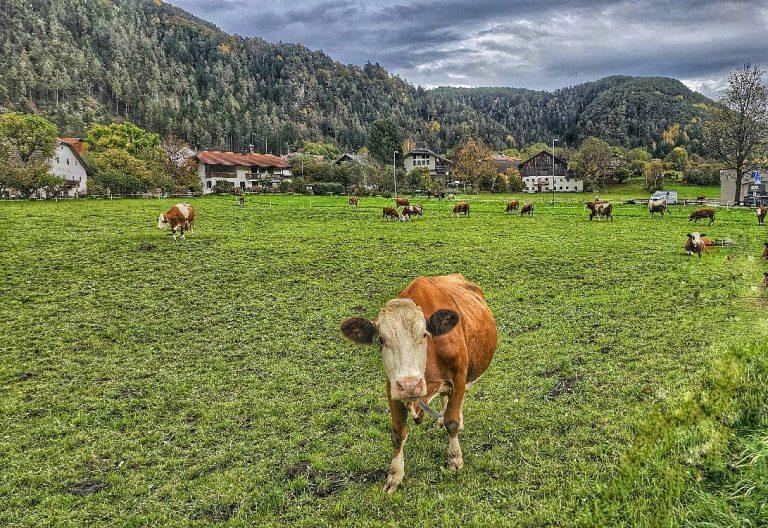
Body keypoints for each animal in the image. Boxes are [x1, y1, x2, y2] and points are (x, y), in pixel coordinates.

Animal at [338, 274, 496, 492]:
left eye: (424, 334)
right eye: (381, 340)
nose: (410, 385)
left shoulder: (458, 377)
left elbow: (453, 421)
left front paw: (455, 459)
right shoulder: (392, 387)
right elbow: (398, 434)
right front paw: (394, 475)